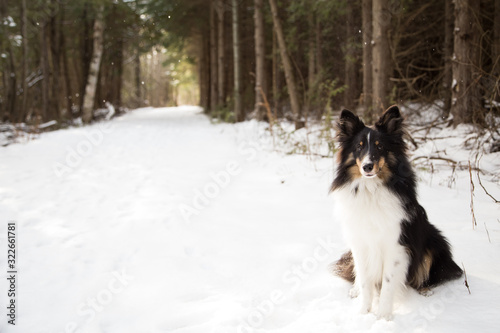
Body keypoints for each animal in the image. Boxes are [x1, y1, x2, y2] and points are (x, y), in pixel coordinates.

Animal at [330, 105, 462, 320]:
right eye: (359, 147)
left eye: (380, 147)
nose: (367, 166)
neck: (372, 189)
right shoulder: (360, 242)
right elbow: (365, 281)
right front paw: (363, 314)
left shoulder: (395, 245)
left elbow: (388, 284)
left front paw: (383, 318)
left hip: (435, 240)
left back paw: (425, 289)